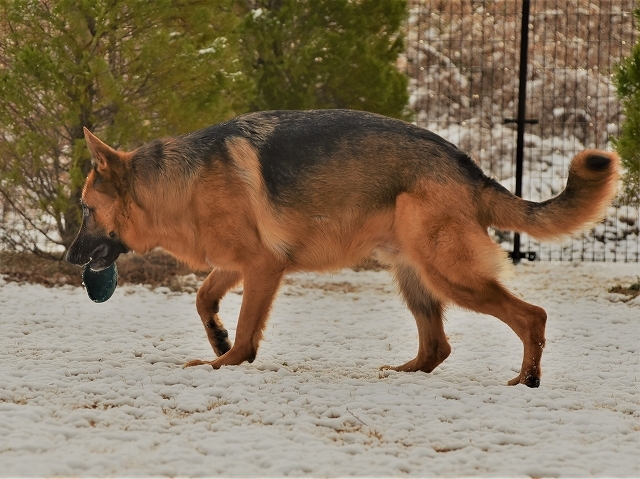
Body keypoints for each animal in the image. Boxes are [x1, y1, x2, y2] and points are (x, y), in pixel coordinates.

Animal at [66, 110, 620, 388]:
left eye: (86, 209)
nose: (69, 258)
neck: (179, 184)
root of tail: (469, 169)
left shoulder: (263, 267)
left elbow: (246, 330)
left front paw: (227, 361)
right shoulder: (238, 265)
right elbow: (204, 299)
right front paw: (217, 340)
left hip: (449, 273)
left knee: (531, 316)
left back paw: (527, 378)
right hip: (414, 277)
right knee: (437, 347)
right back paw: (406, 373)